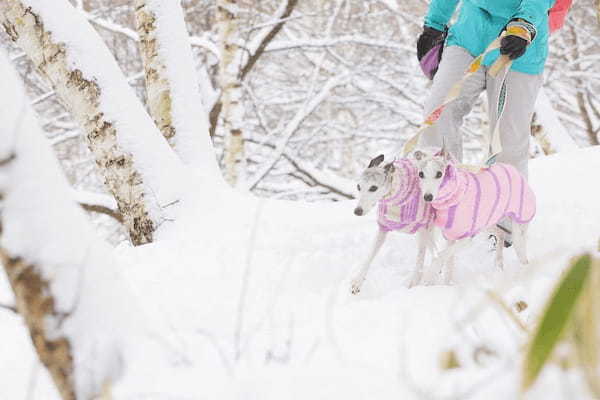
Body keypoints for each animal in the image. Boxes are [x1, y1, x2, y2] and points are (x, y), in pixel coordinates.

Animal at [352, 154, 436, 294]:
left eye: (373, 188)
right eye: (358, 186)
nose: (357, 211)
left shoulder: (423, 229)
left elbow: (420, 259)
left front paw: (414, 284)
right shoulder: (383, 228)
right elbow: (369, 255)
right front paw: (357, 281)